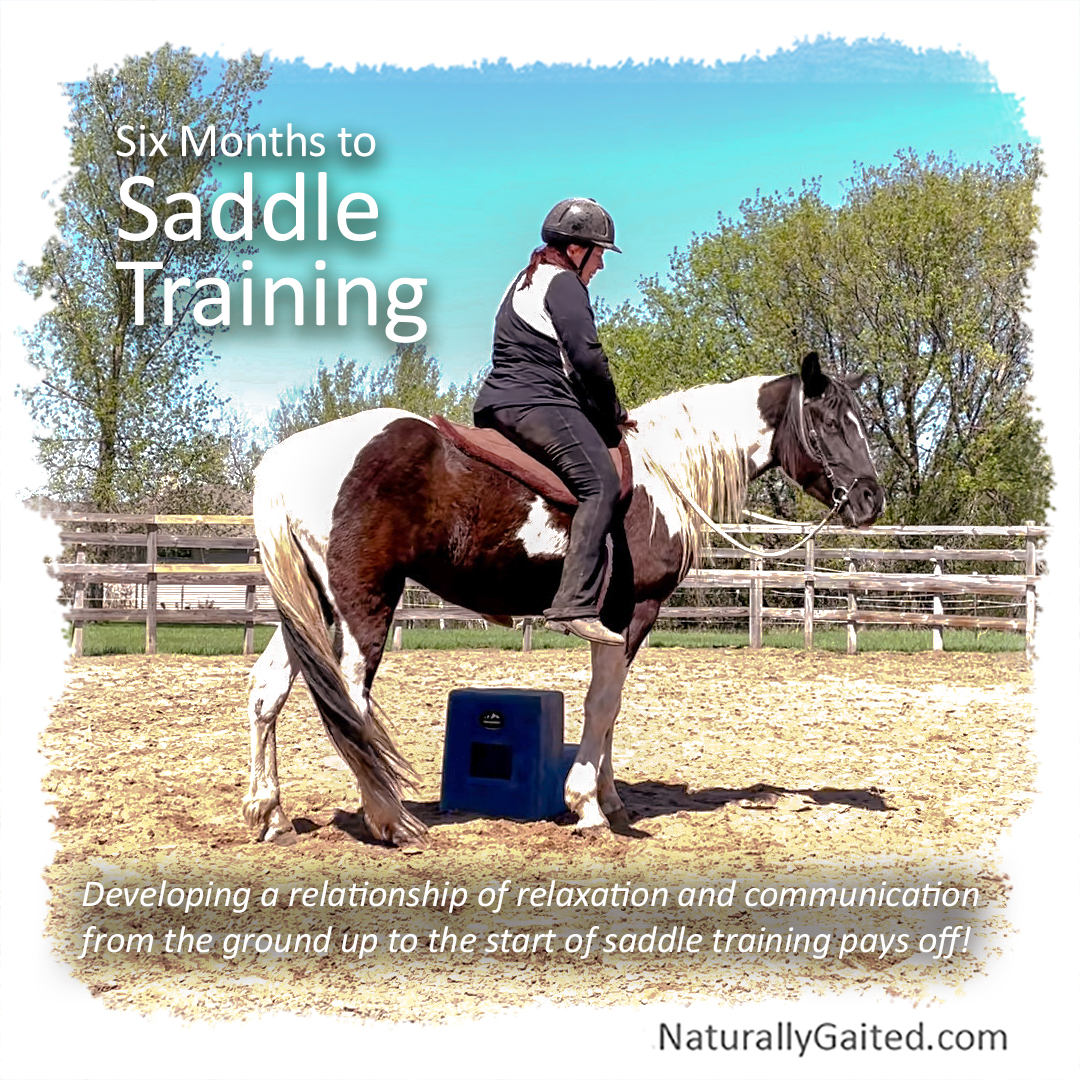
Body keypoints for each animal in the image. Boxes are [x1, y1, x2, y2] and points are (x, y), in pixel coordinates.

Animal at [242, 351, 884, 846]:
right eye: (830, 424)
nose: (870, 500)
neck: (663, 474)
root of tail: (287, 458)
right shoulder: (630, 615)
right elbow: (602, 704)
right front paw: (588, 805)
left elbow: (613, 708)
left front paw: (611, 796)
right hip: (363, 602)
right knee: (351, 702)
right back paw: (389, 819)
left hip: (311, 605)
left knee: (268, 689)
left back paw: (272, 816)